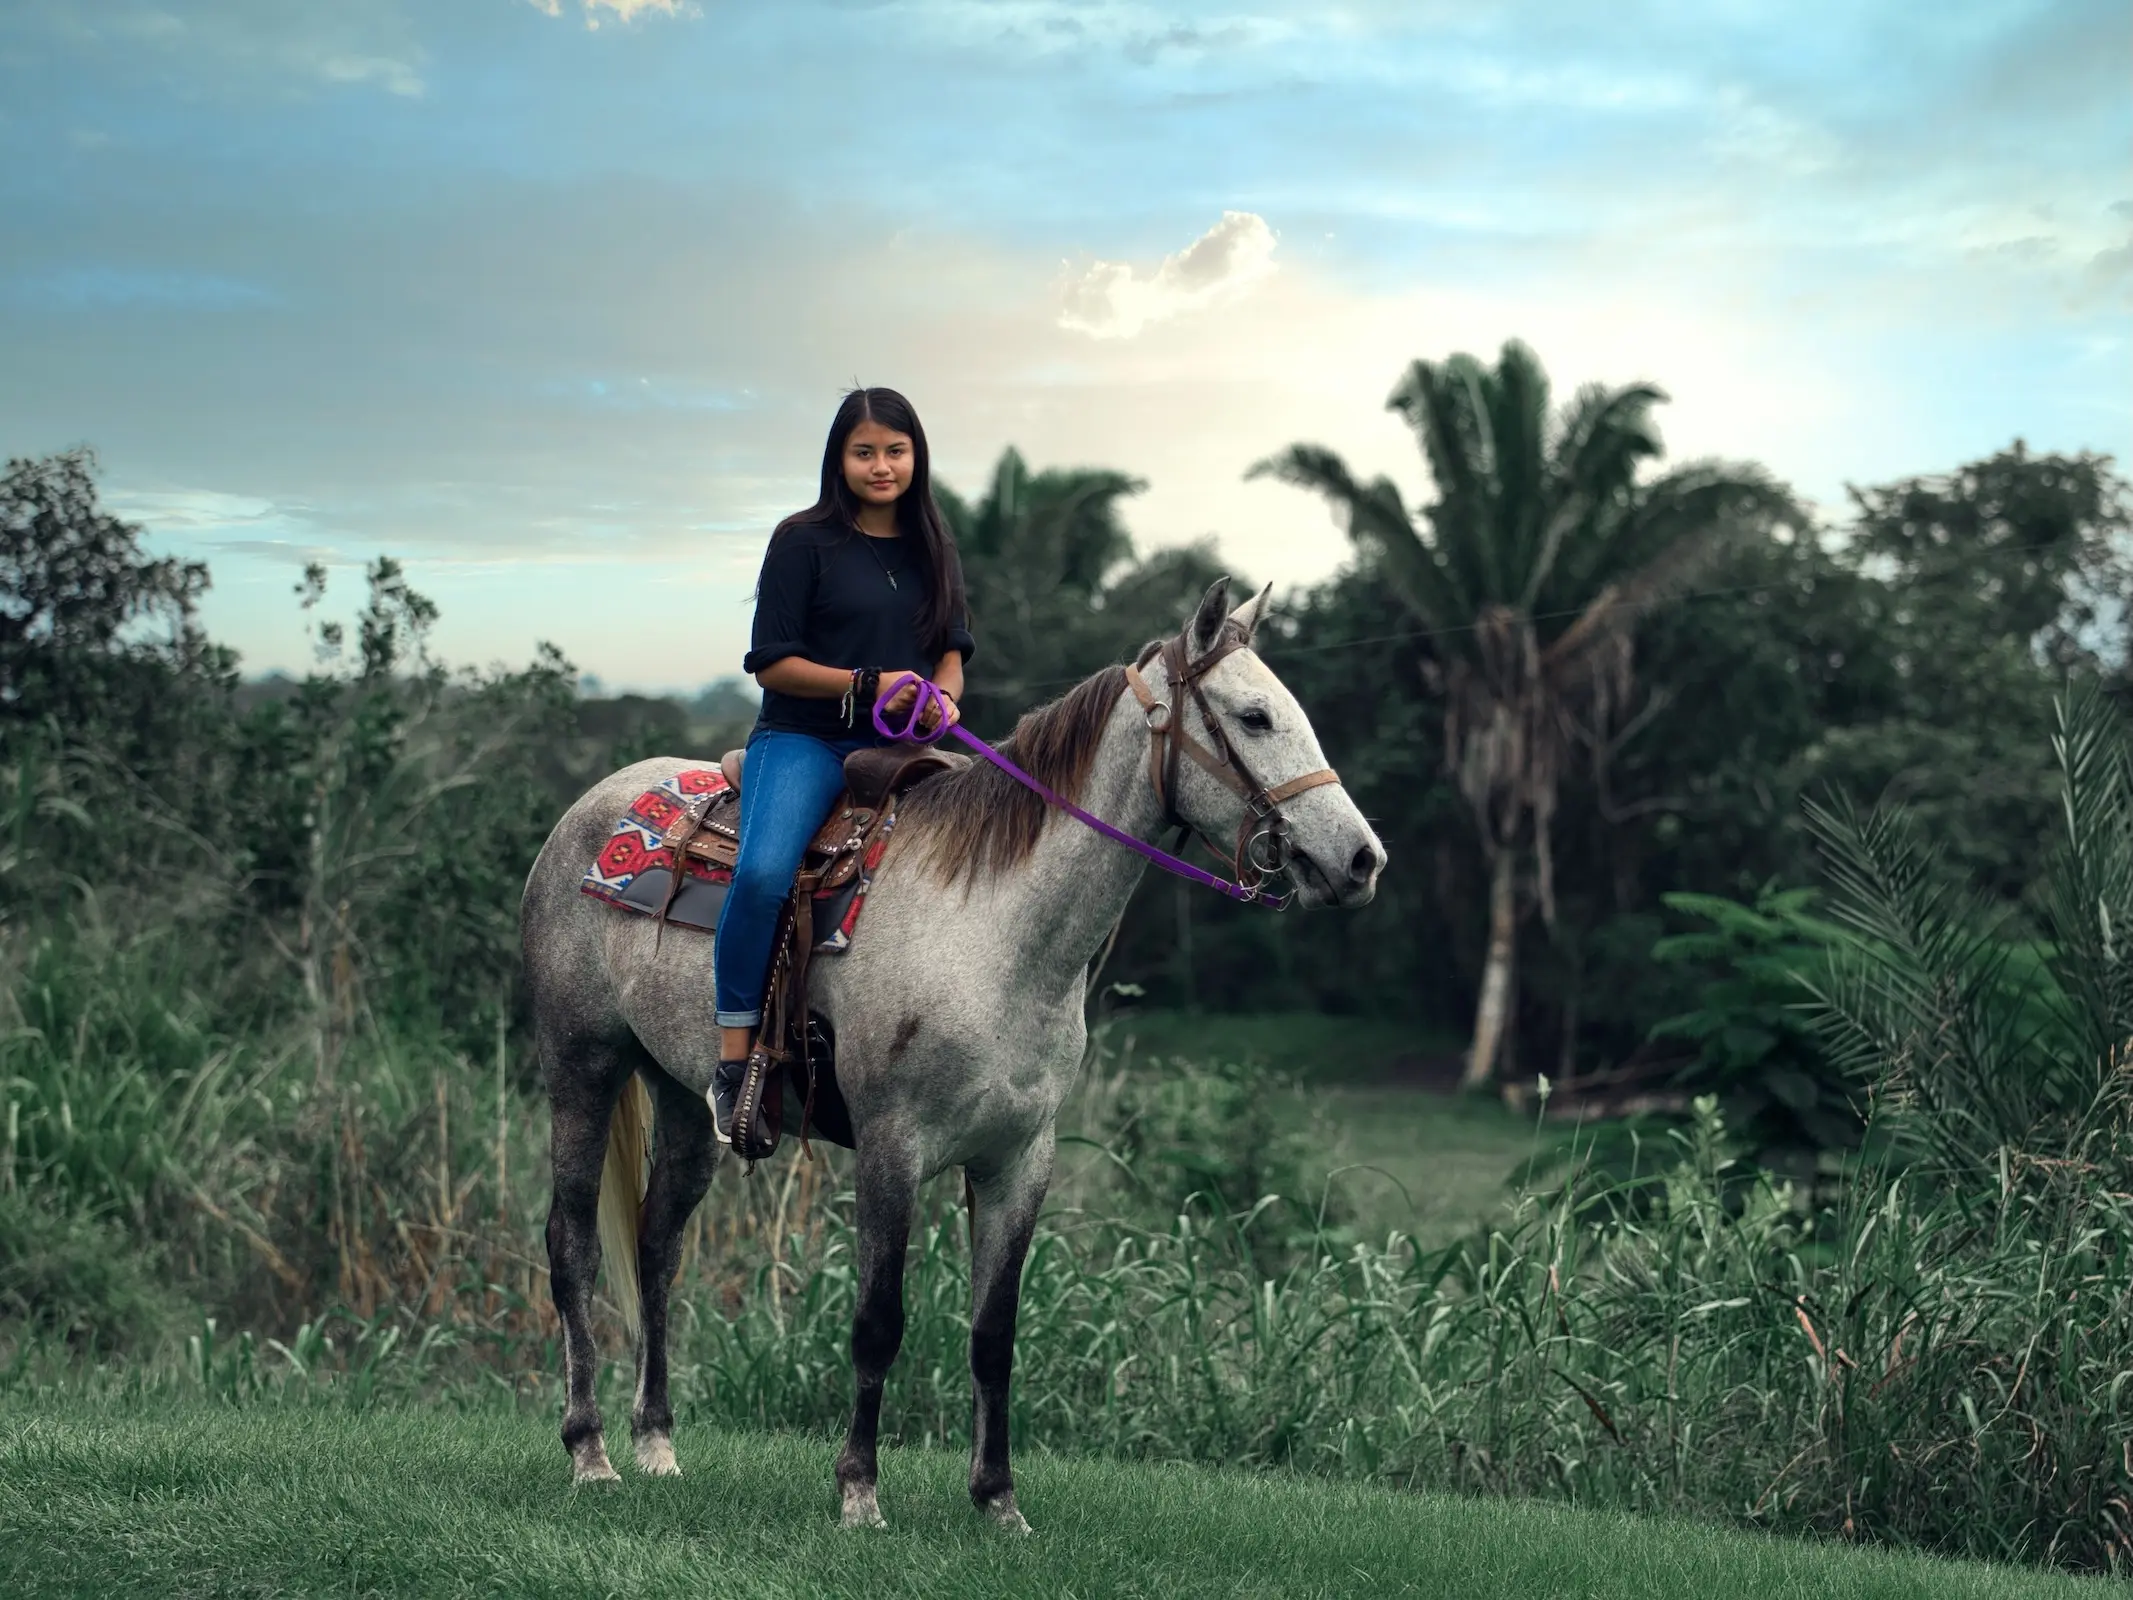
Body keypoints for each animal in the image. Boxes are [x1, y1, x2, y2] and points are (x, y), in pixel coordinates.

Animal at [518, 577, 1387, 1530]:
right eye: (1254, 717)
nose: (1360, 858)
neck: (994, 929)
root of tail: (585, 813)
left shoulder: (1018, 1158)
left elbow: (993, 1334)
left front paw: (998, 1499)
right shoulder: (892, 1149)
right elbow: (878, 1322)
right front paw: (859, 1491)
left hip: (680, 1100)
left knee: (657, 1246)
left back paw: (656, 1444)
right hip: (583, 1067)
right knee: (572, 1244)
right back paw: (590, 1451)